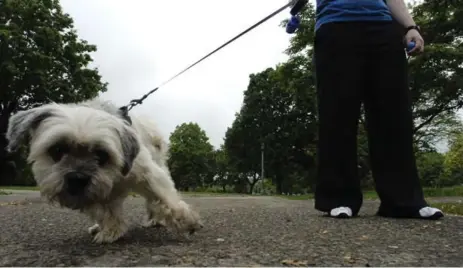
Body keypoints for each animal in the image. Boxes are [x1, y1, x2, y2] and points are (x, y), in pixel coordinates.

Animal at [5, 98, 204, 243]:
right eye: (57, 150)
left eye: (102, 154)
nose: (77, 177)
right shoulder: (96, 192)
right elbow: (105, 211)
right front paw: (111, 230)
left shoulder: (148, 174)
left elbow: (166, 199)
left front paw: (188, 222)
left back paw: (156, 219)